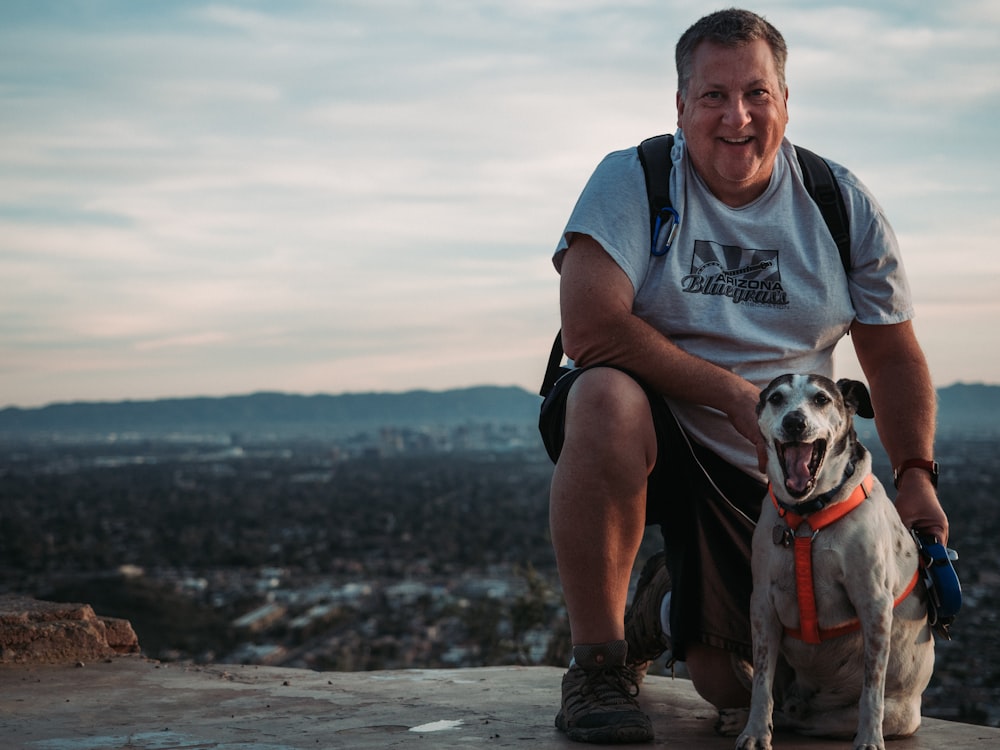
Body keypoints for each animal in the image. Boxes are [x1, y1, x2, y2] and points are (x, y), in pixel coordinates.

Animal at [732, 376, 932, 750]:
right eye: (776, 398)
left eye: (821, 399)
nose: (795, 422)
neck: (808, 516)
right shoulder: (762, 606)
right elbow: (761, 683)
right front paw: (754, 731)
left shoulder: (874, 606)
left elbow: (872, 689)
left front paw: (869, 739)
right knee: (785, 709)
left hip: (859, 717)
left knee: (812, 721)